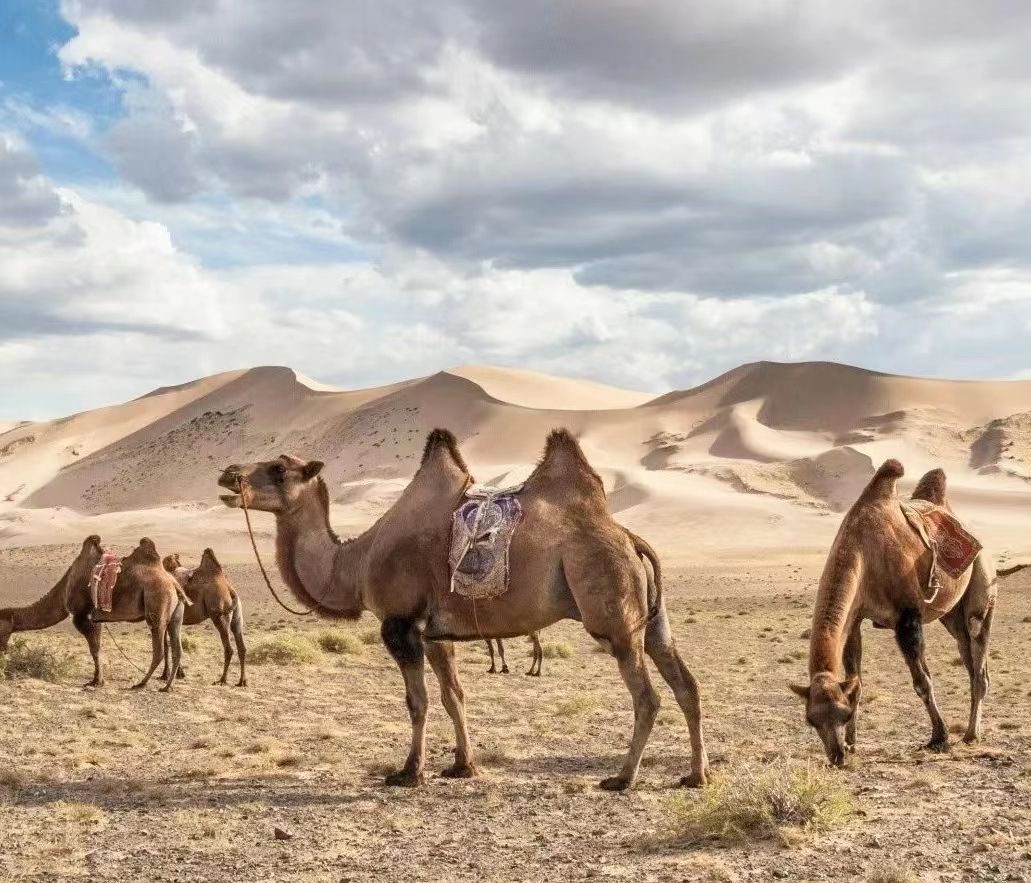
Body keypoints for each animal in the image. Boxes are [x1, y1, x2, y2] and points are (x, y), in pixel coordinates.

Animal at [0, 536, 187, 693]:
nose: (2, 651)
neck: (64, 590)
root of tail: (173, 582)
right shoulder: (98, 618)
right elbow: (97, 647)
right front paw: (97, 680)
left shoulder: (82, 615)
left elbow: (94, 649)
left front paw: (97, 681)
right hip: (175, 614)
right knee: (177, 649)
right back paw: (167, 687)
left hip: (156, 603)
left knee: (159, 649)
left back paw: (141, 683)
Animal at [161, 548, 248, 684]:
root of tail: (229, 588)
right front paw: (179, 674)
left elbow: (167, 645)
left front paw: (166, 675)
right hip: (237, 615)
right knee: (242, 647)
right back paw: (242, 682)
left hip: (219, 615)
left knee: (229, 649)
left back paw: (222, 679)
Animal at [787, 462, 1022, 767]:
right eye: (811, 720)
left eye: (843, 714)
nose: (836, 756)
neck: (864, 554)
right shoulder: (856, 619)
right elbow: (856, 682)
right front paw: (852, 743)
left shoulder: (907, 615)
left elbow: (922, 681)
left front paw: (939, 738)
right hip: (951, 615)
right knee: (968, 656)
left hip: (983, 586)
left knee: (978, 652)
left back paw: (971, 735)